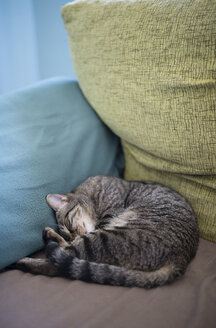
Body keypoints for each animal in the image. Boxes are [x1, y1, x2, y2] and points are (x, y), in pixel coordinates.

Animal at [16, 176, 200, 288]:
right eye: (68, 232)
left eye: (68, 225)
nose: (74, 235)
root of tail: (179, 260)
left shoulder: (109, 212)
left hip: (107, 238)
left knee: (61, 260)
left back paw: (27, 258)